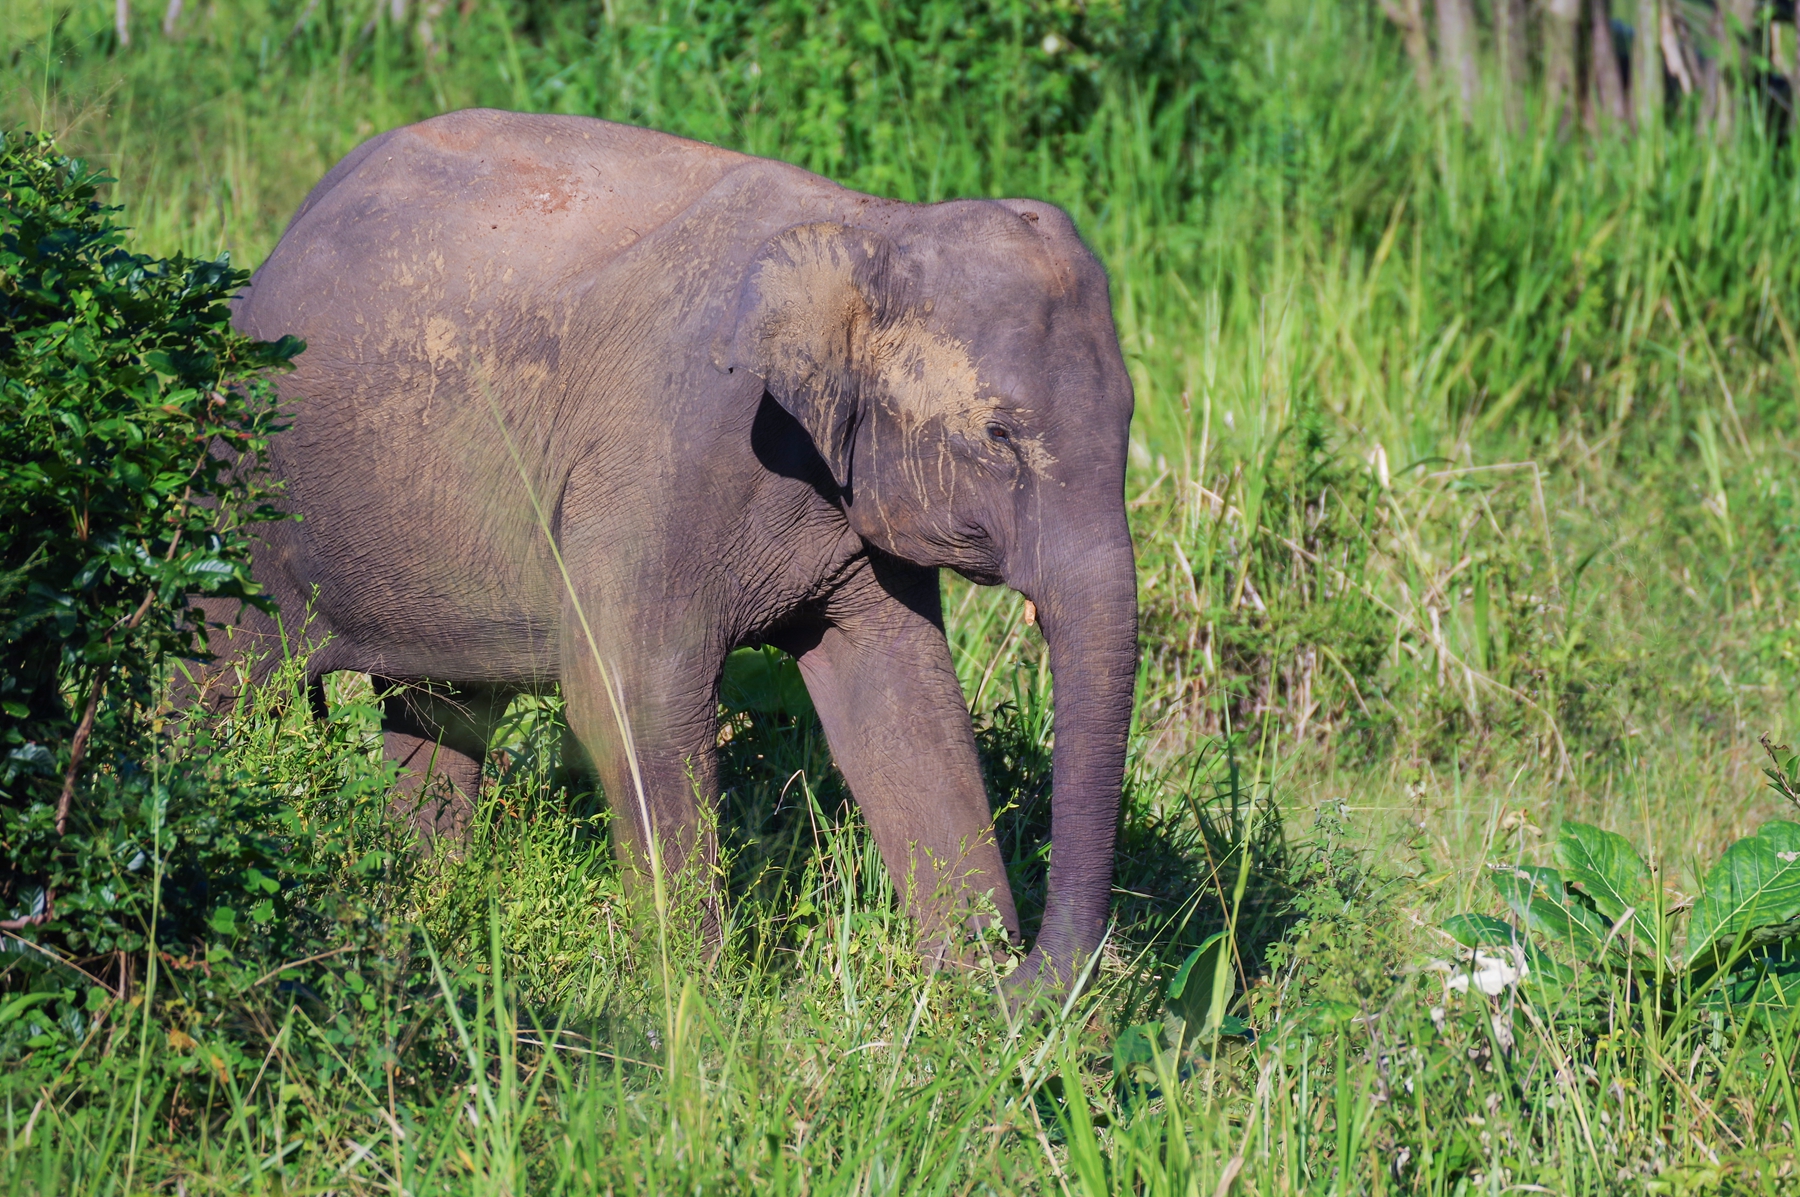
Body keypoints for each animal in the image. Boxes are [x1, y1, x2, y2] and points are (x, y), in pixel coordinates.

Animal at [217, 109, 1130, 986]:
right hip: (245, 491)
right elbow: (628, 698)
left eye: (1127, 419)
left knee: (440, 713)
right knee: (219, 683)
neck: (870, 228)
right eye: (999, 433)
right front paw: (696, 1007)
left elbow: (905, 700)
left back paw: (422, 905)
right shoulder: (660, 460)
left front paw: (966, 1007)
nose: (1017, 966)